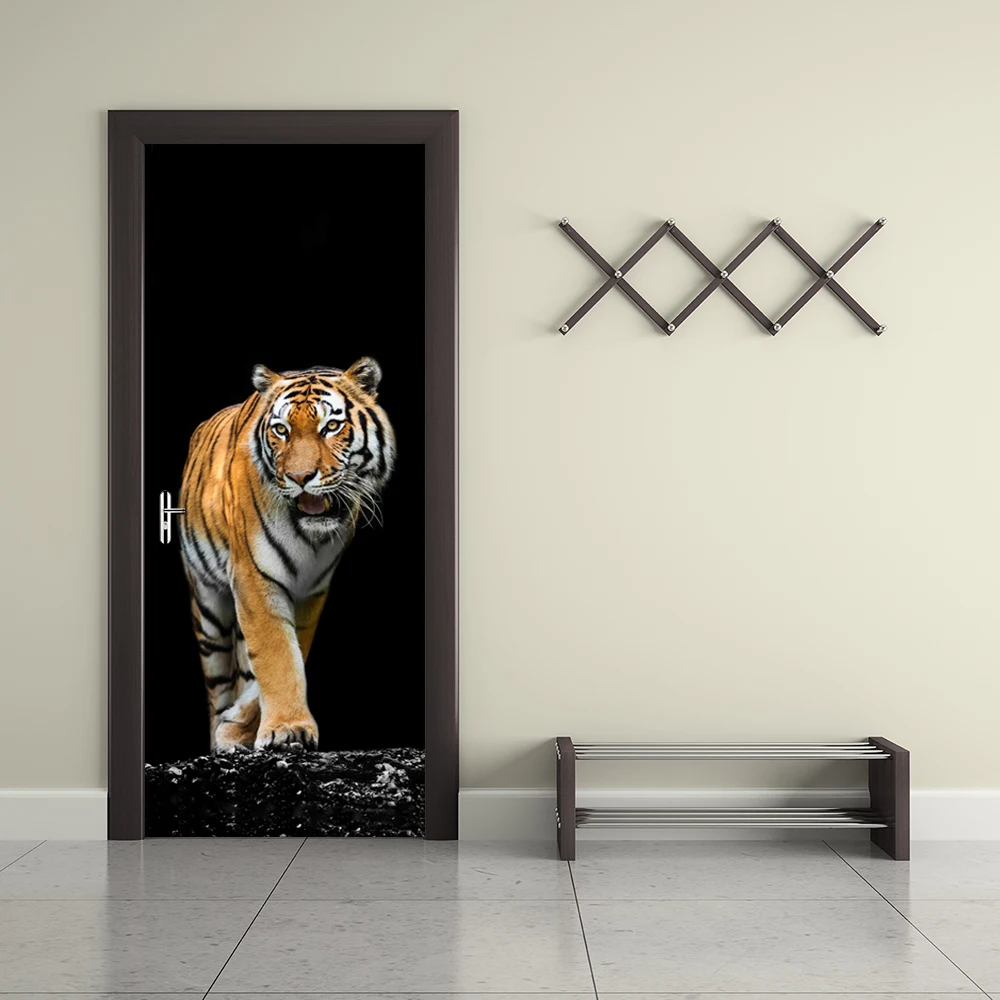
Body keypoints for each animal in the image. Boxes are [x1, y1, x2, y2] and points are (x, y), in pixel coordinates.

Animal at [178, 358, 395, 752]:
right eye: (281, 429)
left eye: (331, 426)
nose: (300, 476)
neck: (311, 537)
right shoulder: (253, 576)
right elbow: (278, 653)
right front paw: (286, 730)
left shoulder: (312, 590)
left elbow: (290, 654)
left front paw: (247, 727)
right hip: (208, 611)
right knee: (218, 684)